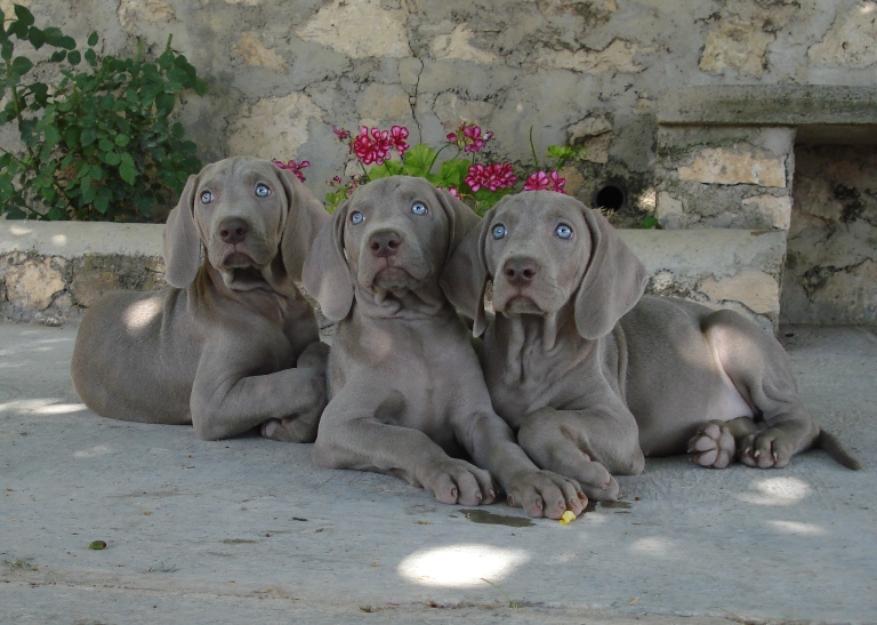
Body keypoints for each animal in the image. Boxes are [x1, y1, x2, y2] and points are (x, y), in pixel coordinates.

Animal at [72, 158, 330, 442]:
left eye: (262, 190)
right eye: (206, 196)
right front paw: (284, 426)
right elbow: (302, 383)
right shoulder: (211, 403)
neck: (266, 298)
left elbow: (318, 351)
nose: (232, 229)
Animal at [302, 174, 588, 516]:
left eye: (419, 207)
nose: (383, 241)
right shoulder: (339, 423)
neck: (413, 327)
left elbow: (506, 448)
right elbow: (407, 438)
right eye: (357, 217)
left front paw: (537, 479)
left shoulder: (478, 416)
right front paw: (452, 468)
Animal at [444, 190, 856, 498]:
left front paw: (587, 473)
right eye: (499, 231)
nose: (518, 269)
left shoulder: (622, 428)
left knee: (799, 418)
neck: (532, 352)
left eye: (564, 231)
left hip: (731, 330)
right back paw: (717, 442)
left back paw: (767, 442)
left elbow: (540, 419)